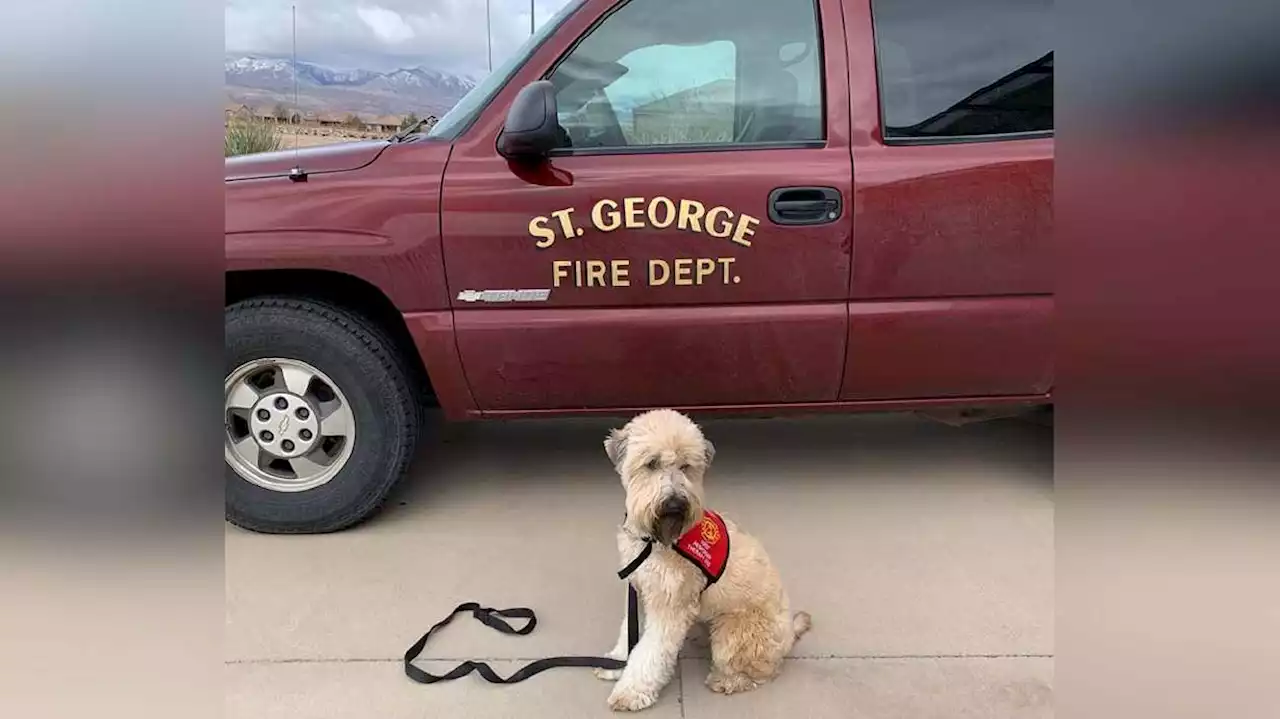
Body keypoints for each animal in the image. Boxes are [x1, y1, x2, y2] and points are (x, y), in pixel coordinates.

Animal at [591, 406, 808, 706]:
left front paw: (631, 692)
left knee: (757, 671)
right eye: (652, 463)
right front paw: (615, 664)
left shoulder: (668, 606)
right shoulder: (641, 590)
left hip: (734, 633)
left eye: (686, 466)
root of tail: (789, 633)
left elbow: (650, 653)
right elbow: (630, 635)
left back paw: (726, 680)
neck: (656, 541)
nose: (675, 503)